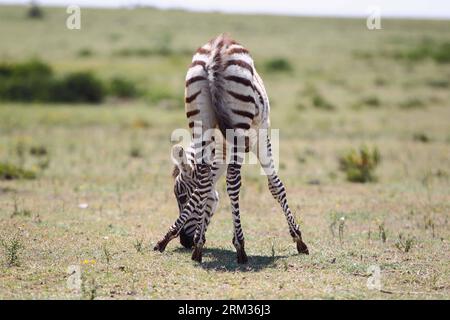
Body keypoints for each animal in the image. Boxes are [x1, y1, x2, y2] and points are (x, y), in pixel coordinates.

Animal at [155, 33, 310, 262]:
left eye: (180, 197)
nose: (184, 241)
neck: (220, 150)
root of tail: (216, 48)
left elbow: (205, 191)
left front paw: (181, 238)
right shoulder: (260, 137)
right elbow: (275, 186)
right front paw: (298, 239)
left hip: (199, 118)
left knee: (204, 181)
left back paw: (198, 248)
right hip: (238, 120)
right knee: (233, 182)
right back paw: (240, 247)